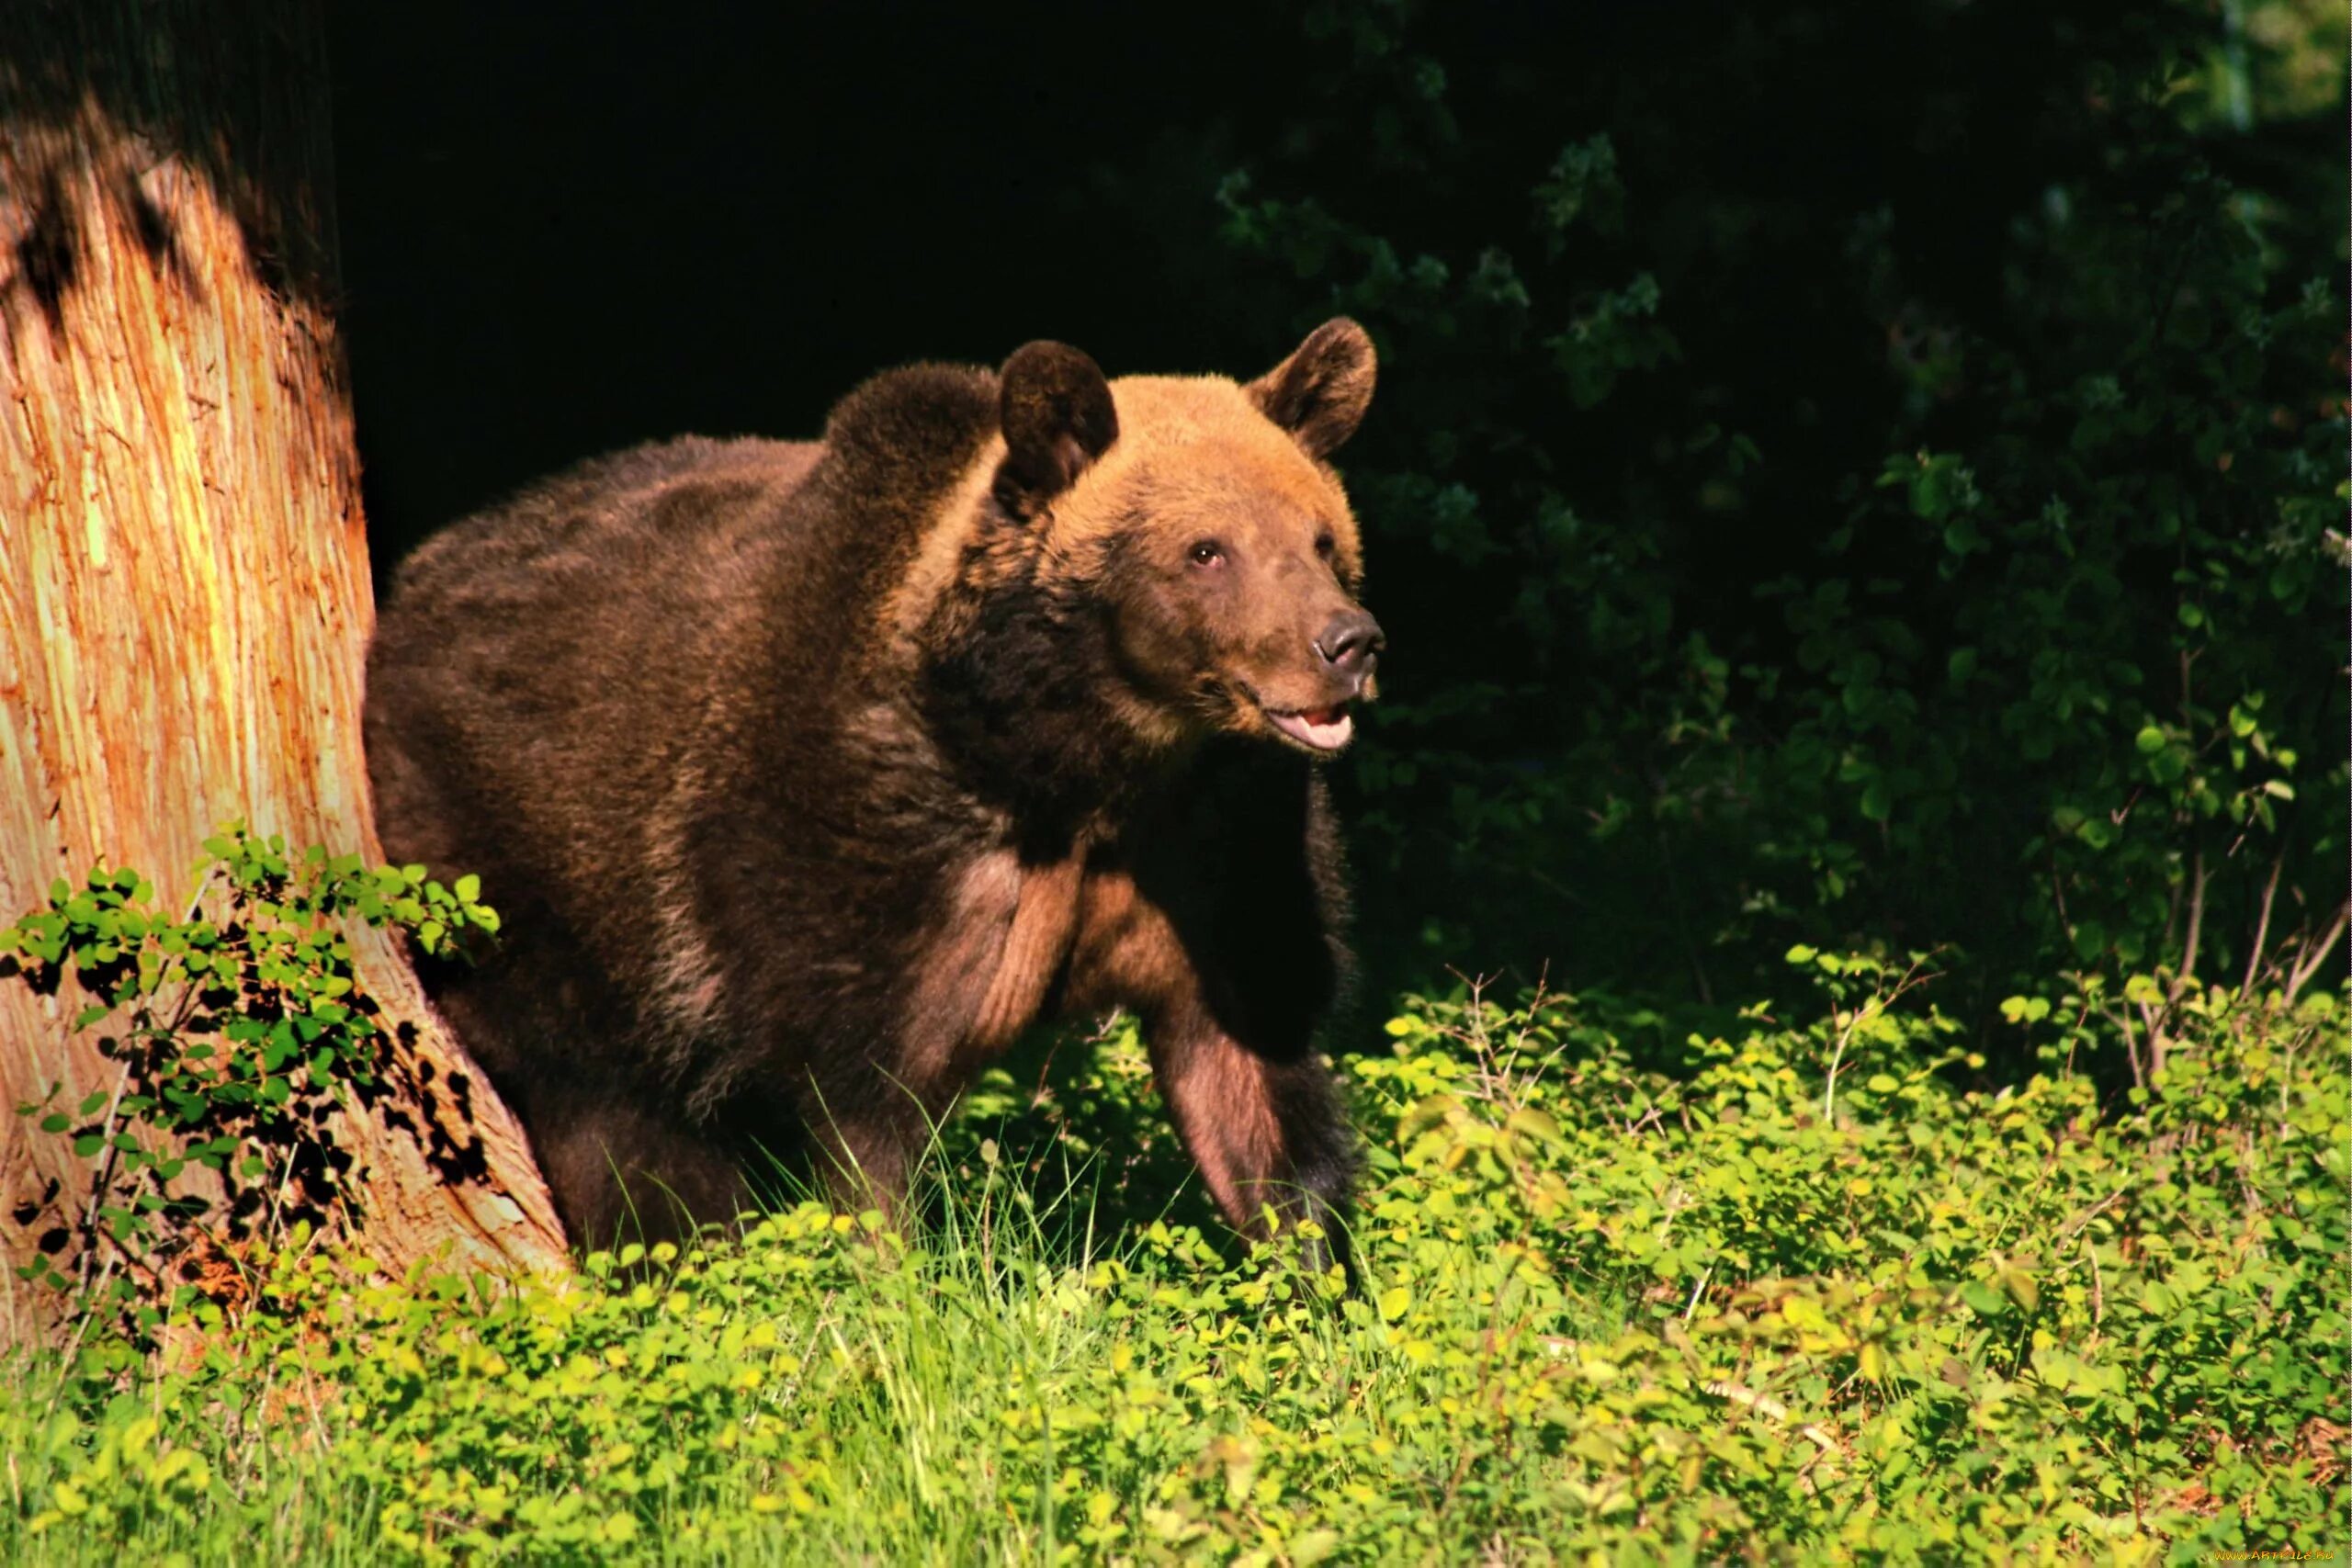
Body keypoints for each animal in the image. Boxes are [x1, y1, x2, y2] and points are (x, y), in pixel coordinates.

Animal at [367, 320, 1383, 1279]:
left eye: (1321, 538)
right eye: (1206, 550)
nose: (1348, 642)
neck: (1070, 755)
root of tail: (414, 583)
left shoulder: (1219, 855)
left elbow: (1254, 1089)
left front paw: (1314, 1288)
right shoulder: (853, 854)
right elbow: (863, 1131)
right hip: (525, 883)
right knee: (618, 1122)